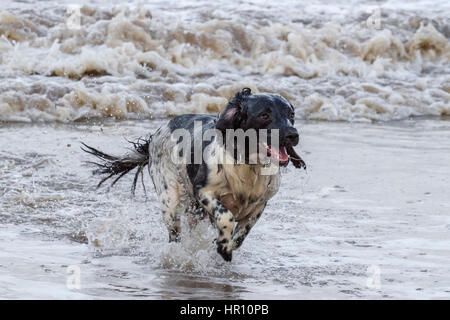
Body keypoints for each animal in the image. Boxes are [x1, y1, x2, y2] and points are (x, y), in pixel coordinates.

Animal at [81, 87, 306, 260]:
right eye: (264, 115)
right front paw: (223, 247)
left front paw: (226, 244)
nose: (293, 135)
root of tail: (157, 133)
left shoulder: (260, 202)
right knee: (175, 234)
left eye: (291, 115)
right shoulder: (203, 191)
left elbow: (242, 233)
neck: (248, 165)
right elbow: (226, 217)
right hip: (170, 200)